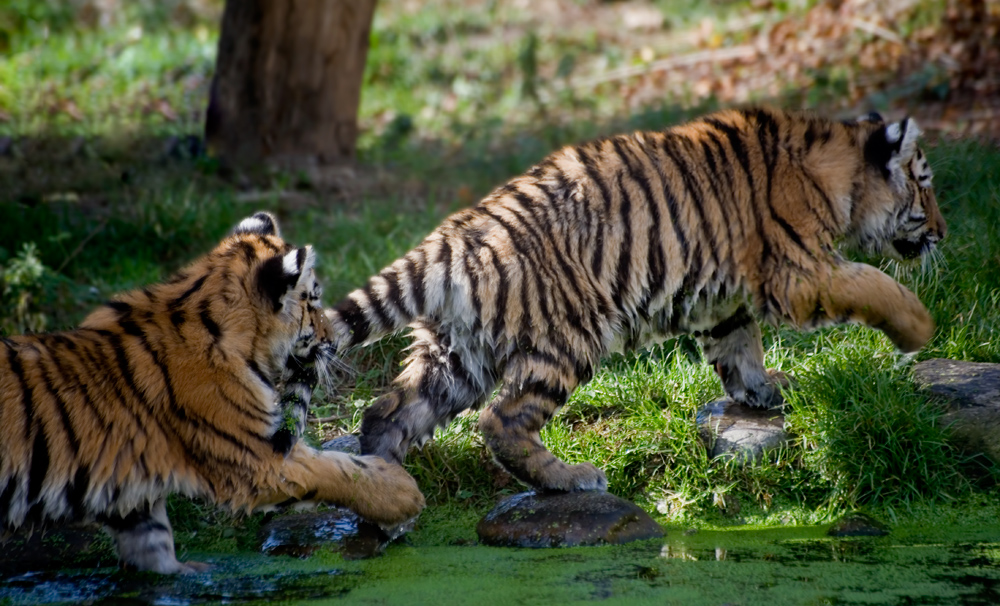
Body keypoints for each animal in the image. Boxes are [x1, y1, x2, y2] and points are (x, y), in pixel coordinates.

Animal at [0, 214, 424, 576]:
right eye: (313, 301)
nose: (334, 339)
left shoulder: (131, 495)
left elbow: (154, 544)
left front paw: (188, 575)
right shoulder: (253, 458)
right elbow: (337, 469)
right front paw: (402, 492)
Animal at [326, 107, 944, 496]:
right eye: (925, 183)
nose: (941, 231)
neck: (836, 170)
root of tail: (450, 241)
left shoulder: (724, 302)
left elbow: (741, 347)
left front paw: (766, 390)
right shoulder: (800, 273)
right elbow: (874, 283)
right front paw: (920, 329)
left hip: (456, 356)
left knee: (387, 412)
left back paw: (385, 483)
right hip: (567, 340)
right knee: (500, 420)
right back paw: (572, 478)